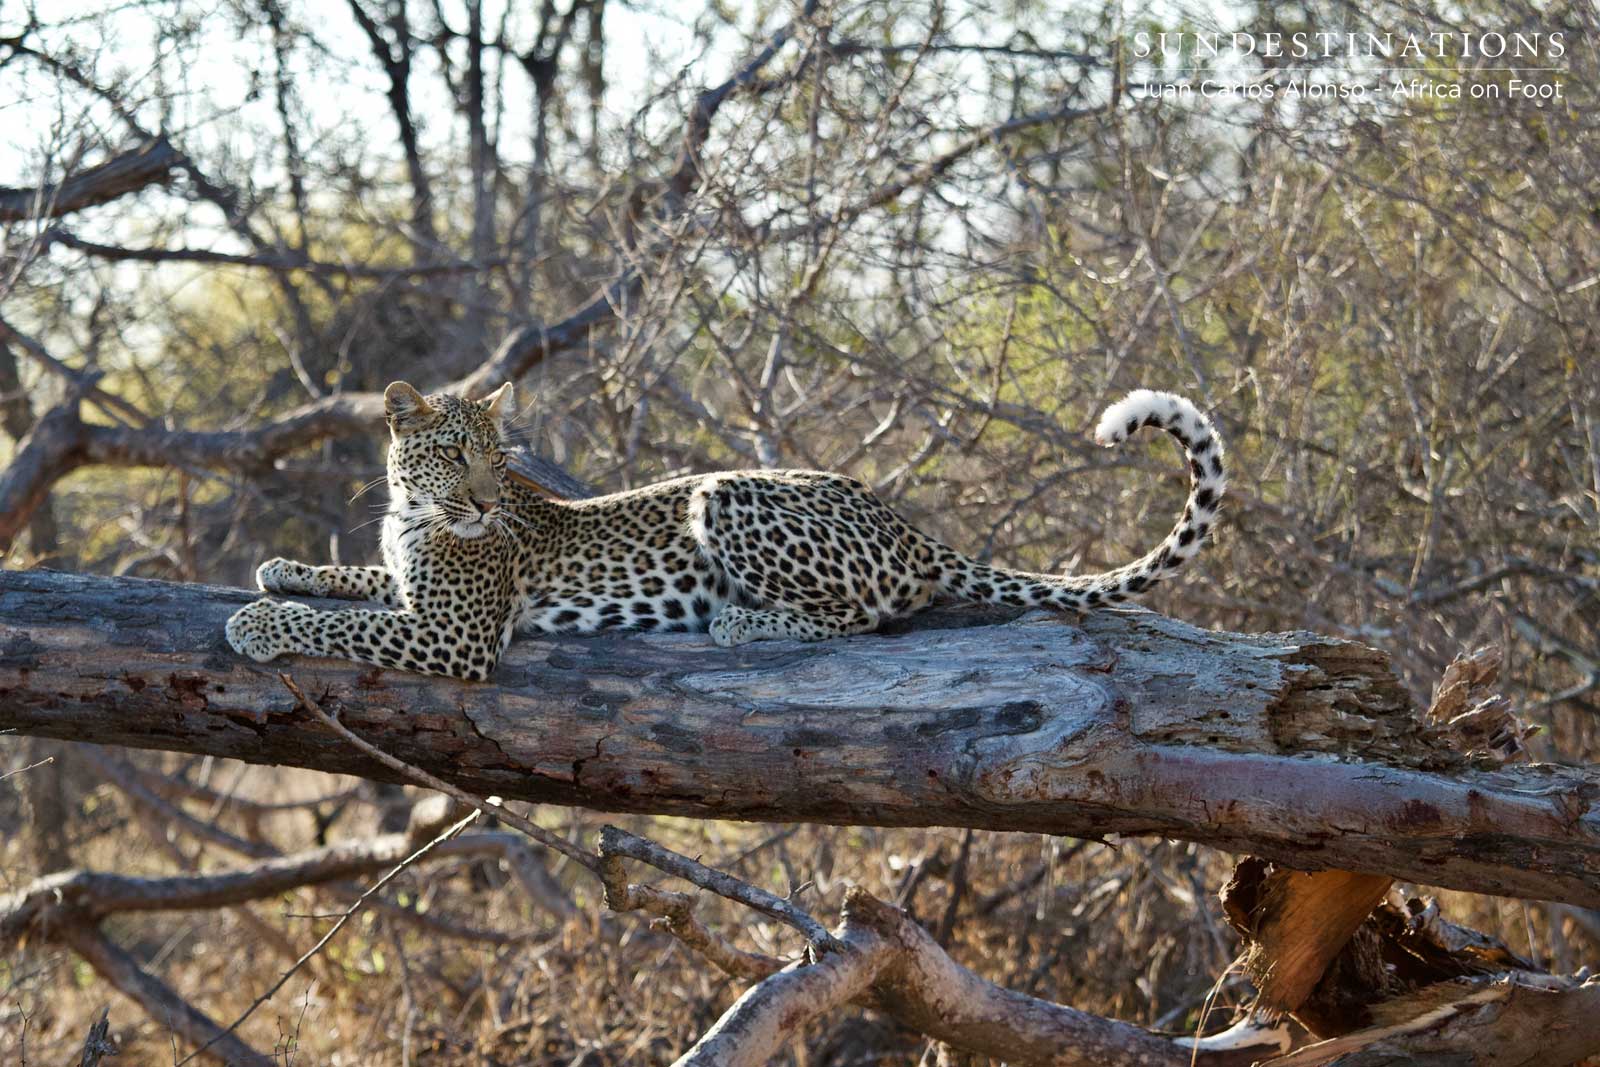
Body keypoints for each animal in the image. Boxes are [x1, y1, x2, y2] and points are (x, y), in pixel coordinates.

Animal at [225, 381, 1226, 681]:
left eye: (494, 457)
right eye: (449, 452)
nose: (480, 504)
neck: (413, 514)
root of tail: (906, 522)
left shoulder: (456, 635)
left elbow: (347, 626)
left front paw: (257, 623)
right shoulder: (410, 591)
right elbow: (355, 585)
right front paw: (281, 567)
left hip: (726, 494)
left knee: (866, 615)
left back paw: (739, 618)